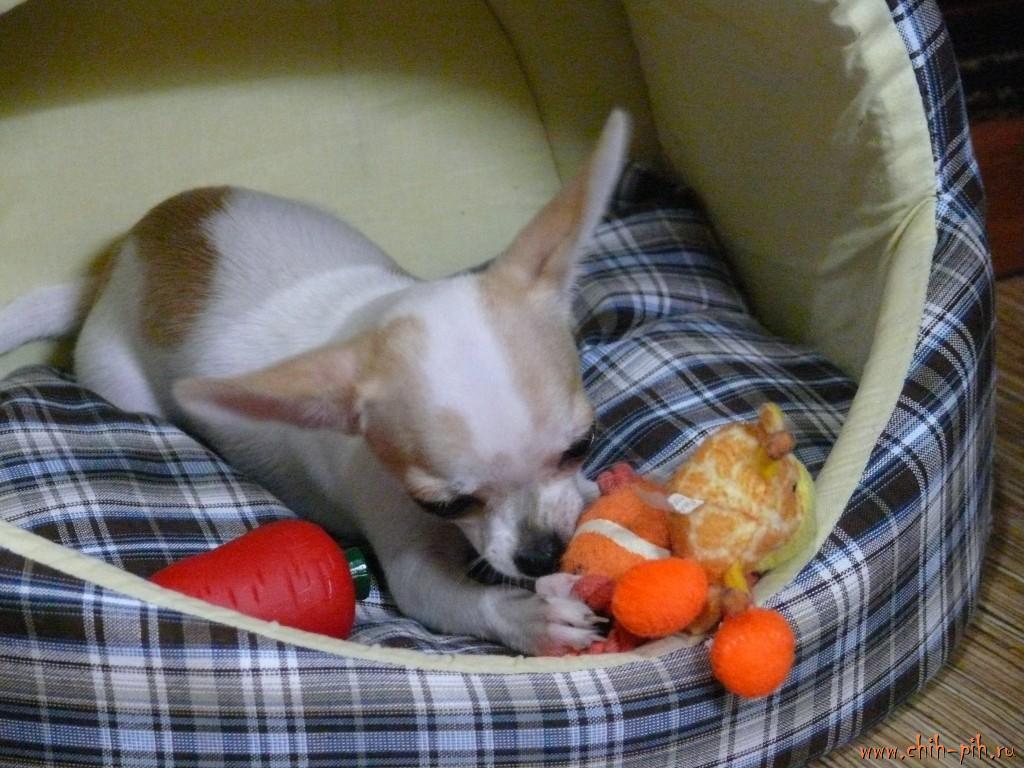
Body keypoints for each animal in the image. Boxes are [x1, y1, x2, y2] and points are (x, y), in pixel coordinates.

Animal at [0, 111, 631, 655]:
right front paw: (532, 618)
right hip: (117, 381)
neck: (368, 316)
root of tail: (114, 267)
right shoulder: (406, 556)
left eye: (583, 445)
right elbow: (452, 596)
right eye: (446, 505)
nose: (543, 554)